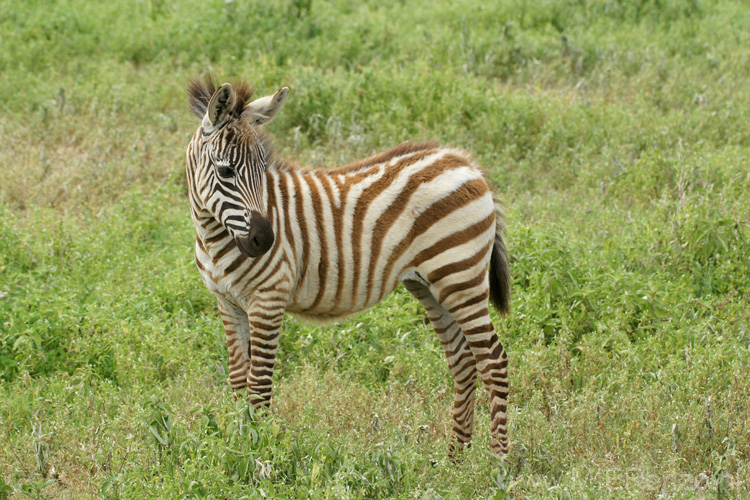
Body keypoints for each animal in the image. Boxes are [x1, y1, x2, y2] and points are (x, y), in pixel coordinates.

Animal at [187, 76, 516, 456]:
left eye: (263, 168)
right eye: (225, 170)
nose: (266, 240)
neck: (214, 237)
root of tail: (466, 162)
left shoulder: (268, 299)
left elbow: (259, 385)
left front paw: (261, 453)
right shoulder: (227, 302)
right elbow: (239, 381)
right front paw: (237, 448)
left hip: (461, 276)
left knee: (493, 361)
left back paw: (498, 460)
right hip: (431, 286)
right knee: (463, 363)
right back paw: (455, 459)